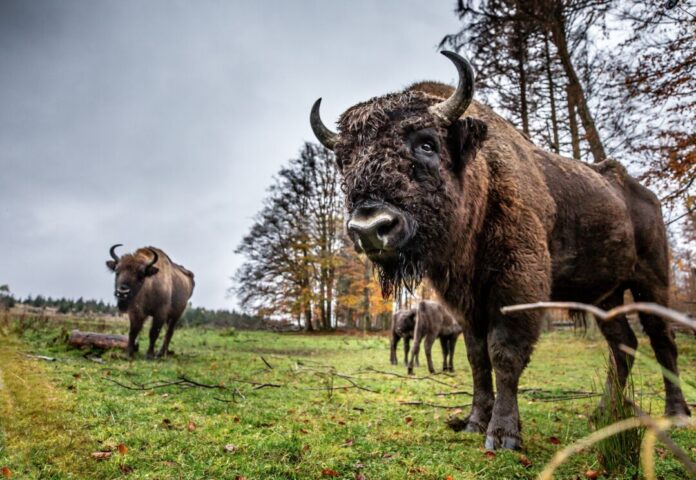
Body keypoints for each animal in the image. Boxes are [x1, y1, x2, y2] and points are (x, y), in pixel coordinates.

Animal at [312, 50, 692, 448]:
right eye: (344, 161)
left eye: (428, 143)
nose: (370, 228)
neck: (482, 182)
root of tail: (644, 194)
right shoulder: (465, 303)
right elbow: (478, 359)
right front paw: (474, 422)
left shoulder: (516, 288)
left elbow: (504, 354)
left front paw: (503, 435)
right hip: (605, 296)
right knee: (624, 345)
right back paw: (602, 412)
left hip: (652, 281)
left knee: (662, 340)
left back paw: (676, 414)